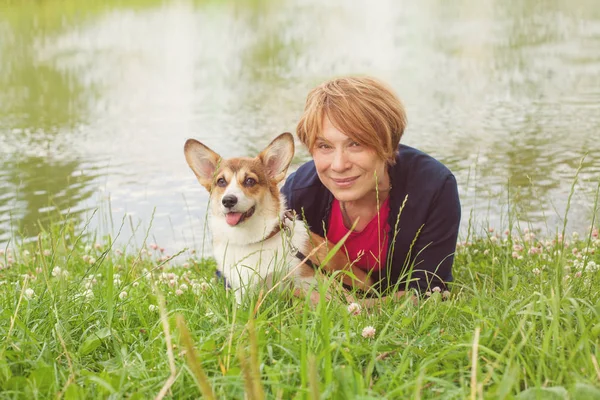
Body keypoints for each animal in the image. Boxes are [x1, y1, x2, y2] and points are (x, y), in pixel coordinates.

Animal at [184, 133, 370, 302]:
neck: (251, 240)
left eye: (250, 181)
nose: (228, 200)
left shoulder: (305, 280)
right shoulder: (241, 290)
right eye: (221, 182)